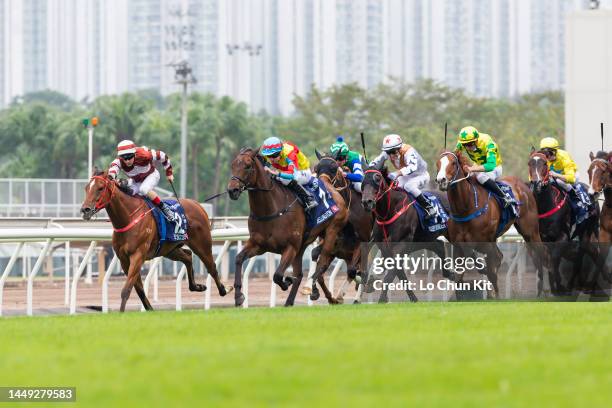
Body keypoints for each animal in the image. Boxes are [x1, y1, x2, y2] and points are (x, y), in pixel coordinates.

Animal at [81, 169, 230, 312]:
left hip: (202, 245)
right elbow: (139, 289)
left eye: (100, 188)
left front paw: (122, 313)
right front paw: (150, 309)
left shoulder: (138, 255)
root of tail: (198, 205)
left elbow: (126, 290)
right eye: (86, 188)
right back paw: (197, 286)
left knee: (212, 267)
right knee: (188, 256)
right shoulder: (124, 259)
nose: (85, 209)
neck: (129, 217)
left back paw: (225, 290)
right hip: (169, 249)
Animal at [228, 147, 350, 306]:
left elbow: (278, 275)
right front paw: (238, 296)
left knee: (322, 262)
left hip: (331, 231)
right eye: (232, 165)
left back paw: (316, 291)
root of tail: (330, 187)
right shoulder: (258, 245)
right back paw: (290, 301)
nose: (232, 190)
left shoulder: (290, 247)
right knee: (301, 273)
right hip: (303, 245)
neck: (271, 209)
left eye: (248, 166)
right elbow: (238, 258)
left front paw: (287, 281)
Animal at [358, 163, 450, 302]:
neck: (390, 210)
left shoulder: (402, 243)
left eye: (378, 179)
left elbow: (392, 273)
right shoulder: (384, 246)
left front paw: (382, 298)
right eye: (363, 180)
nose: (366, 202)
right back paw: (450, 274)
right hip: (426, 239)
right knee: (439, 246)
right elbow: (398, 272)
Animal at [432, 149, 544, 296]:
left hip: (530, 232)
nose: (441, 180)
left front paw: (495, 295)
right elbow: (459, 278)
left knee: (541, 254)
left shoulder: (486, 243)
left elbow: (491, 272)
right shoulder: (458, 246)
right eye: (438, 163)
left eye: (453, 163)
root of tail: (523, 185)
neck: (466, 208)